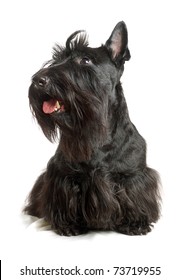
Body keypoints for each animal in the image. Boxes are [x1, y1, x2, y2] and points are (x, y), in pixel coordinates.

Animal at [24, 21, 161, 235]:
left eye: (85, 60)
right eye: (56, 59)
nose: (38, 80)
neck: (97, 136)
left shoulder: (133, 176)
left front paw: (135, 223)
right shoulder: (62, 176)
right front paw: (69, 224)